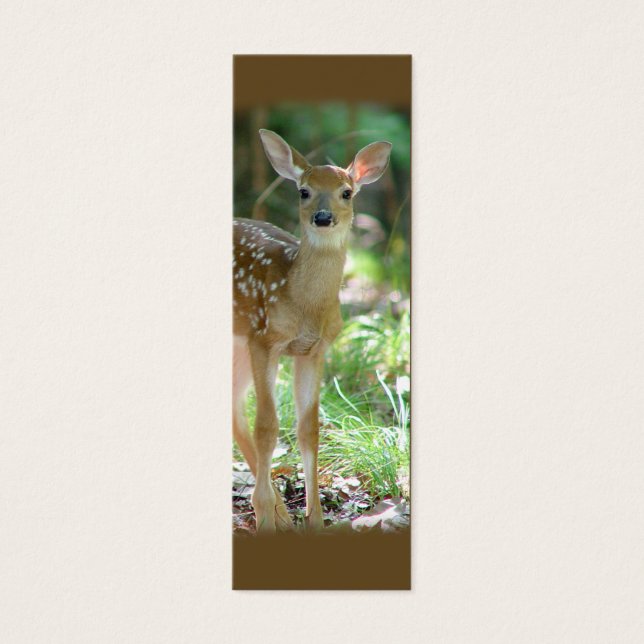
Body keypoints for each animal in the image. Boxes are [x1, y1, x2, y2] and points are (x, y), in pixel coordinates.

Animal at [233, 129, 392, 533]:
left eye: (346, 192)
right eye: (303, 190)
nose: (323, 217)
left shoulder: (315, 350)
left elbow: (308, 429)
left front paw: (314, 519)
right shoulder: (265, 340)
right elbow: (267, 427)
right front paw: (264, 519)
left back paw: (282, 513)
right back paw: (272, 511)